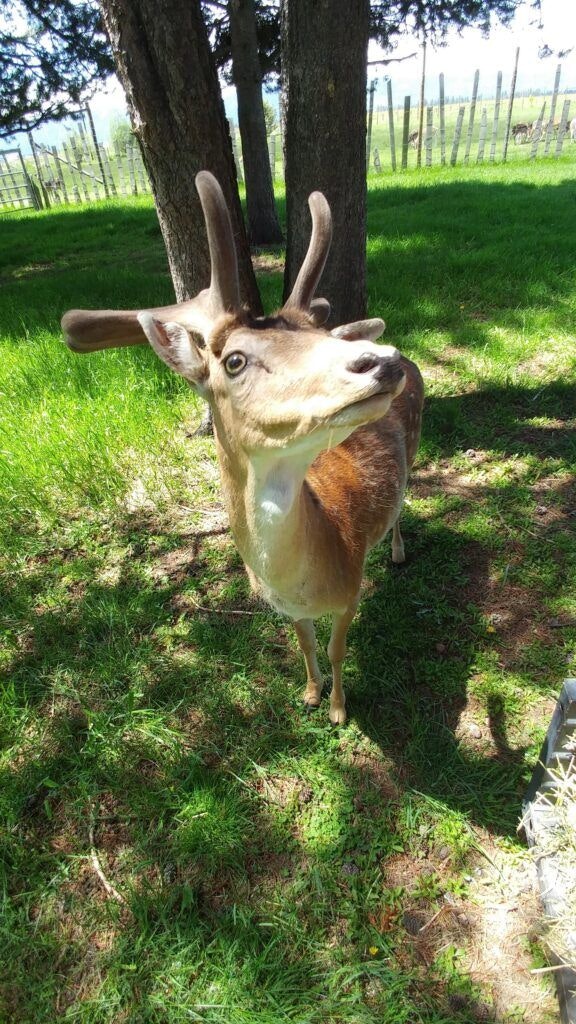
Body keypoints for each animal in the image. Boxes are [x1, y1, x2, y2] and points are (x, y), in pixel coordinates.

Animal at [62, 171, 424, 725]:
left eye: (322, 335)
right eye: (234, 360)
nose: (381, 360)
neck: (311, 571)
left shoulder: (351, 591)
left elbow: (337, 649)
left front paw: (339, 711)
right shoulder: (288, 608)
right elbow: (306, 646)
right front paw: (310, 695)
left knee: (407, 499)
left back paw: (399, 553)